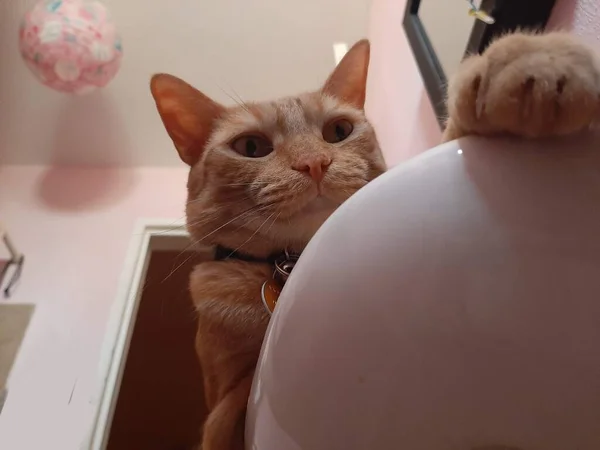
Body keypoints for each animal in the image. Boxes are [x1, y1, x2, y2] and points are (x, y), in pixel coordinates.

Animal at [150, 32, 600, 450]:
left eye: (338, 131)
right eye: (251, 146)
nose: (314, 163)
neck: (288, 264)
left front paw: (530, 59)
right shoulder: (230, 410)